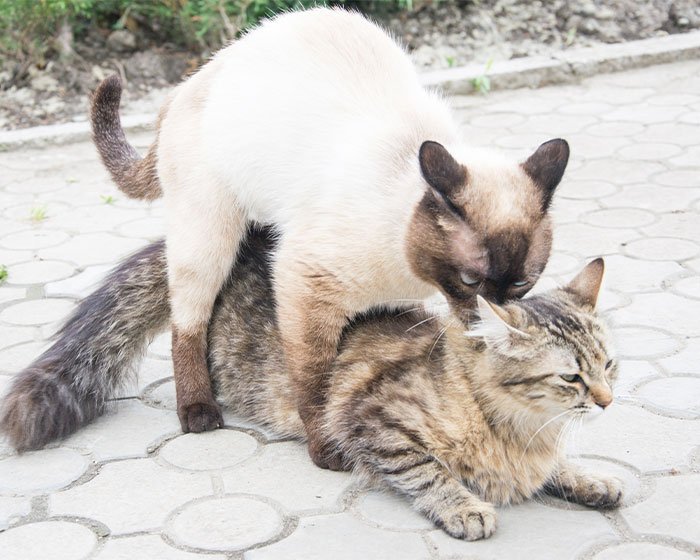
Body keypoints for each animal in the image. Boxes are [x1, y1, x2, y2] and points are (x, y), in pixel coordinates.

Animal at [89, 6, 568, 468]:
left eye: (522, 284)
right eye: (471, 280)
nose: (491, 319)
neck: (413, 273)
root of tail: (187, 84)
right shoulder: (304, 286)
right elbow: (317, 384)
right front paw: (328, 452)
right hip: (209, 239)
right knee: (187, 322)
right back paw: (198, 412)